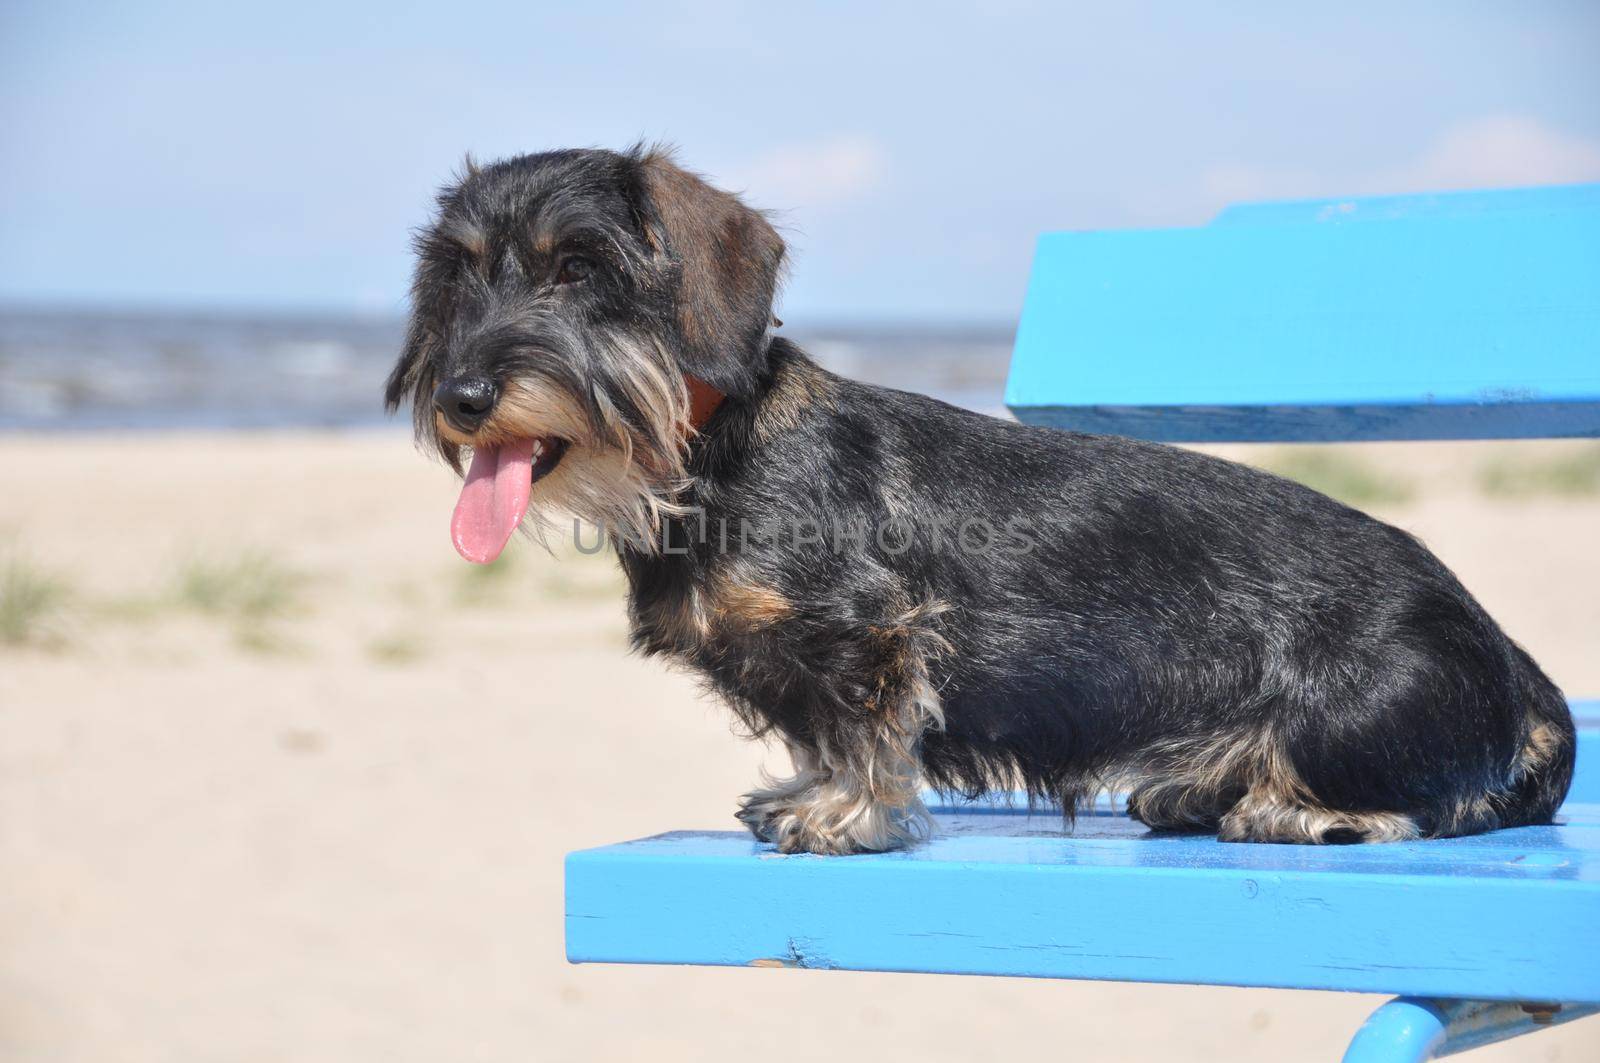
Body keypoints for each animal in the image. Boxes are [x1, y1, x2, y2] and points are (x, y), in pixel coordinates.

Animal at [384, 145, 1574, 858]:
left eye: (578, 269)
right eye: (459, 276)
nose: (460, 398)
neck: (708, 455)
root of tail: (1510, 660)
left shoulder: (869, 633)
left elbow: (863, 729)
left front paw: (841, 811)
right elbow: (817, 728)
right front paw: (803, 794)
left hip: (1353, 711)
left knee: (1424, 803)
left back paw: (1295, 807)